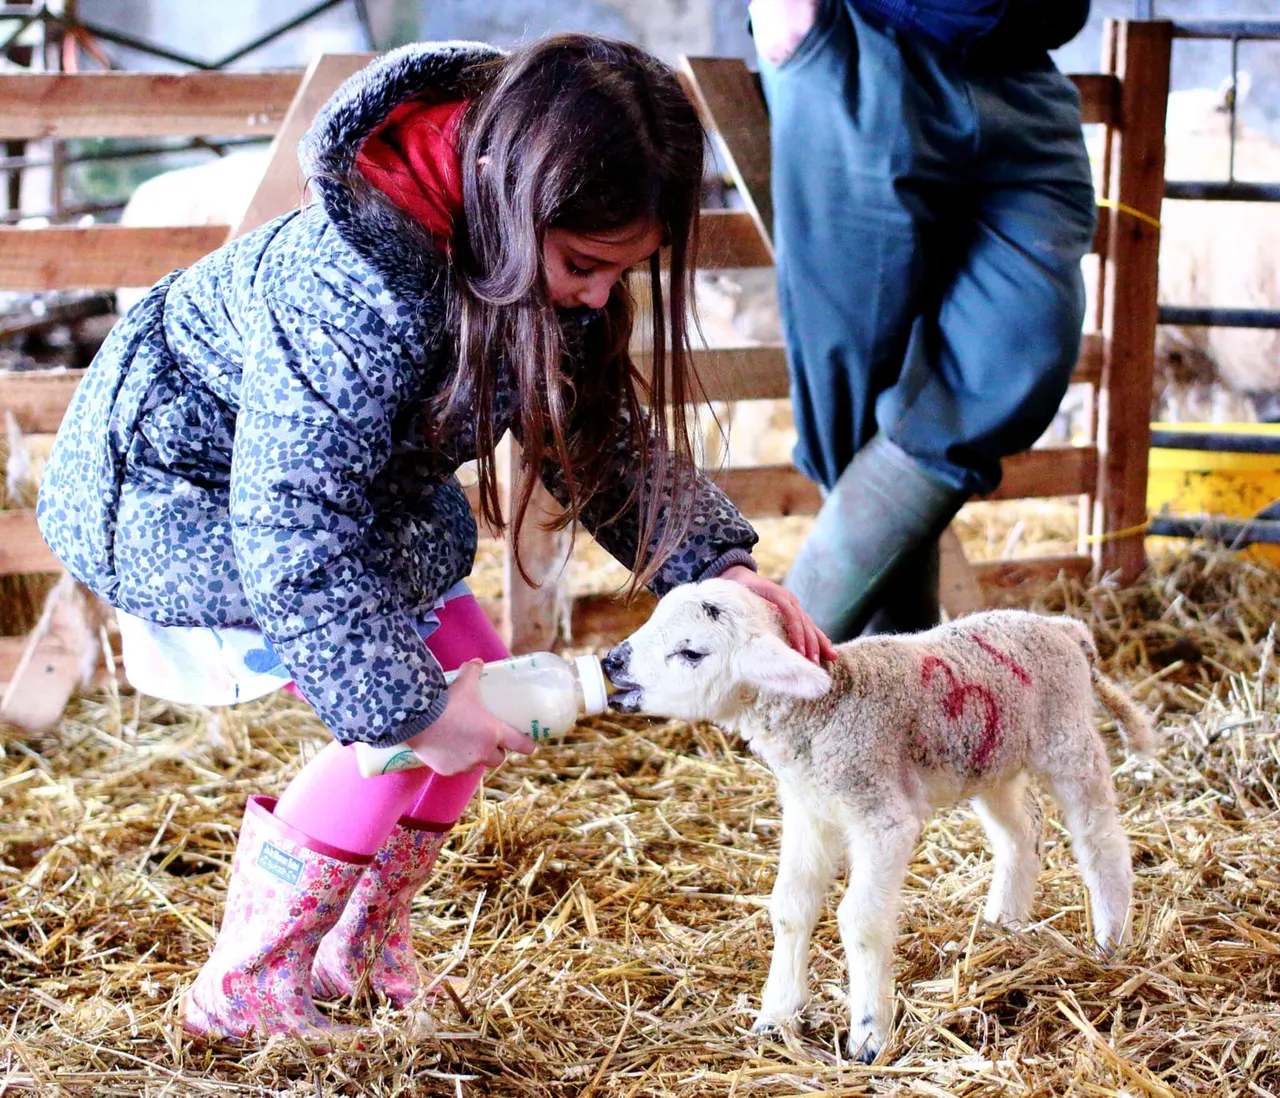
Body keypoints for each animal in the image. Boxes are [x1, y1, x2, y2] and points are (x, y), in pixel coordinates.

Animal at [603, 580, 1155, 1063]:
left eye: (691, 652)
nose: (612, 661)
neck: (824, 708)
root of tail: (1064, 627)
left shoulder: (881, 817)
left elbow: (860, 919)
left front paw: (869, 1035)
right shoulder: (809, 809)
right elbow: (791, 907)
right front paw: (775, 1018)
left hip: (1069, 740)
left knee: (1101, 840)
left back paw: (1110, 943)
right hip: (988, 754)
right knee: (1023, 832)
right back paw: (1003, 923)